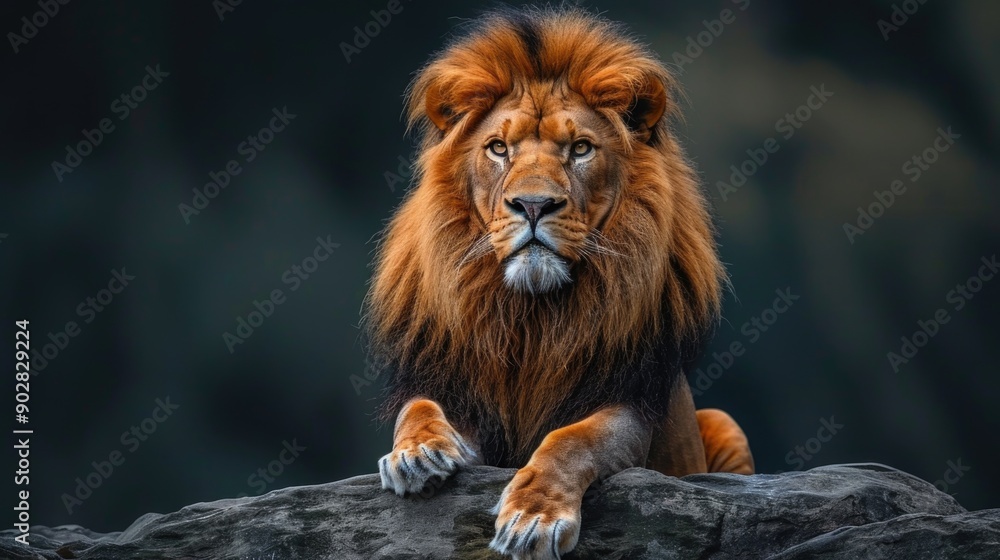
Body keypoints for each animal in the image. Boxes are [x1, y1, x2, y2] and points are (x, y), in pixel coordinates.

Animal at [366, 6, 753, 559]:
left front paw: (533, 518)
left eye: (581, 149)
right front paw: (416, 453)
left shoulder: (629, 403)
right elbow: (416, 408)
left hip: (726, 424)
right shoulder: (461, 388)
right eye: (499, 149)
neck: (532, 315)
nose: (533, 205)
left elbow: (572, 439)